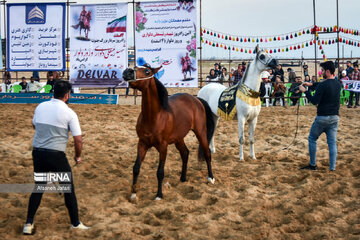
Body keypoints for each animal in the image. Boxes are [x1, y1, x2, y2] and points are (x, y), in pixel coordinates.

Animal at [122, 64, 215, 201]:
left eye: (147, 71)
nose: (127, 72)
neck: (154, 117)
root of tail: (196, 99)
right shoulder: (142, 143)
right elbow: (136, 168)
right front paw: (133, 194)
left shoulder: (163, 146)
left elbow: (160, 172)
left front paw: (159, 195)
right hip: (179, 138)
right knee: (185, 153)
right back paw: (183, 178)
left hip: (200, 132)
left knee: (207, 153)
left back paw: (211, 178)